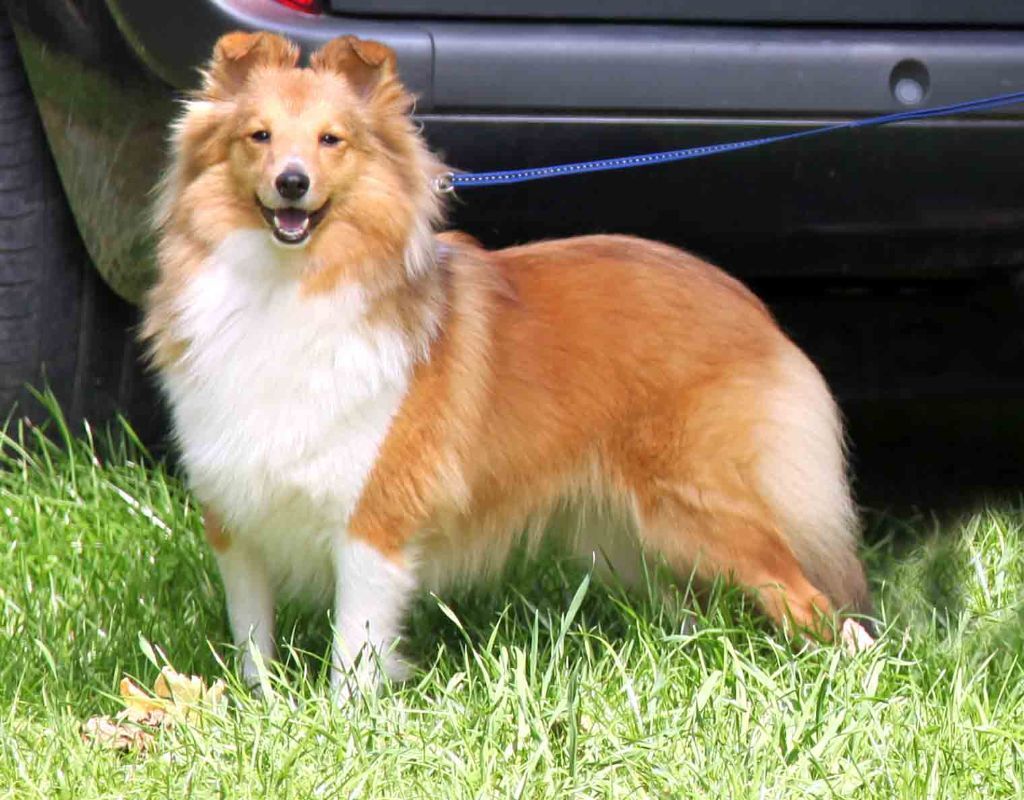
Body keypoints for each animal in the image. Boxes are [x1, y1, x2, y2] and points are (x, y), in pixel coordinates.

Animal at [144, 31, 876, 692]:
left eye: (331, 140)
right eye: (258, 136)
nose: (291, 184)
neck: (287, 285)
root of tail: (749, 303)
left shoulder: (374, 520)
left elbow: (355, 651)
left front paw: (342, 719)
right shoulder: (236, 520)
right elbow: (252, 640)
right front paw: (258, 706)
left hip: (704, 511)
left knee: (818, 606)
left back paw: (856, 676)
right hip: (627, 540)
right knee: (693, 611)